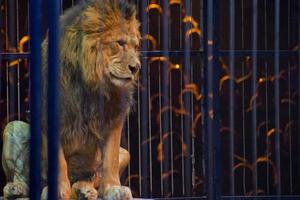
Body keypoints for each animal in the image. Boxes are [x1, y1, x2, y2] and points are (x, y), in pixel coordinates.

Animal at [1, 0, 141, 199]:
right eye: (120, 43)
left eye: (136, 47)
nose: (136, 67)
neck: (90, 80)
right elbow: (58, 161)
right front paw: (58, 190)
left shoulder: (114, 116)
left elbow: (110, 158)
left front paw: (113, 188)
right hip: (13, 127)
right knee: (24, 178)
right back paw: (16, 189)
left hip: (125, 153)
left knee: (92, 175)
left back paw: (85, 189)